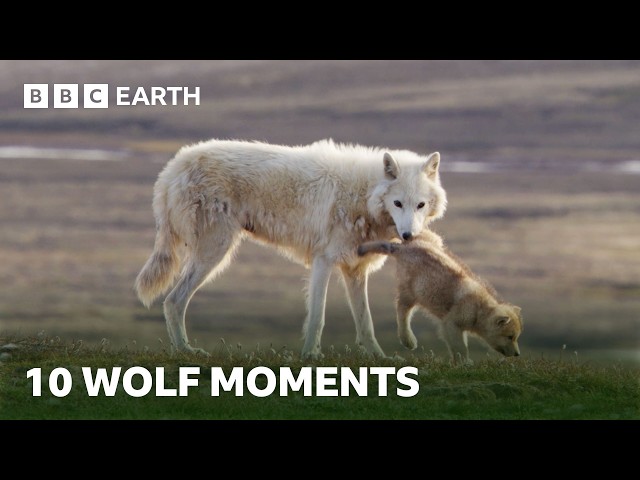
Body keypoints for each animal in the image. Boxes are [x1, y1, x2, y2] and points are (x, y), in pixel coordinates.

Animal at [134, 139, 447, 359]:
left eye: (420, 205)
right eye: (398, 204)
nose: (408, 236)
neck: (363, 194)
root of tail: (173, 168)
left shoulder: (354, 271)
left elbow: (365, 323)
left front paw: (379, 358)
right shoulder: (323, 262)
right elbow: (317, 317)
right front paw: (310, 356)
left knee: (173, 301)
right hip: (215, 253)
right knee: (173, 301)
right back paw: (185, 352)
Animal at [358, 230, 523, 363]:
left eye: (516, 337)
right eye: (510, 336)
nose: (517, 354)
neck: (478, 310)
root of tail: (404, 249)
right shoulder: (452, 322)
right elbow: (460, 346)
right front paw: (464, 363)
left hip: (433, 242)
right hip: (412, 291)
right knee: (402, 309)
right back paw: (408, 339)